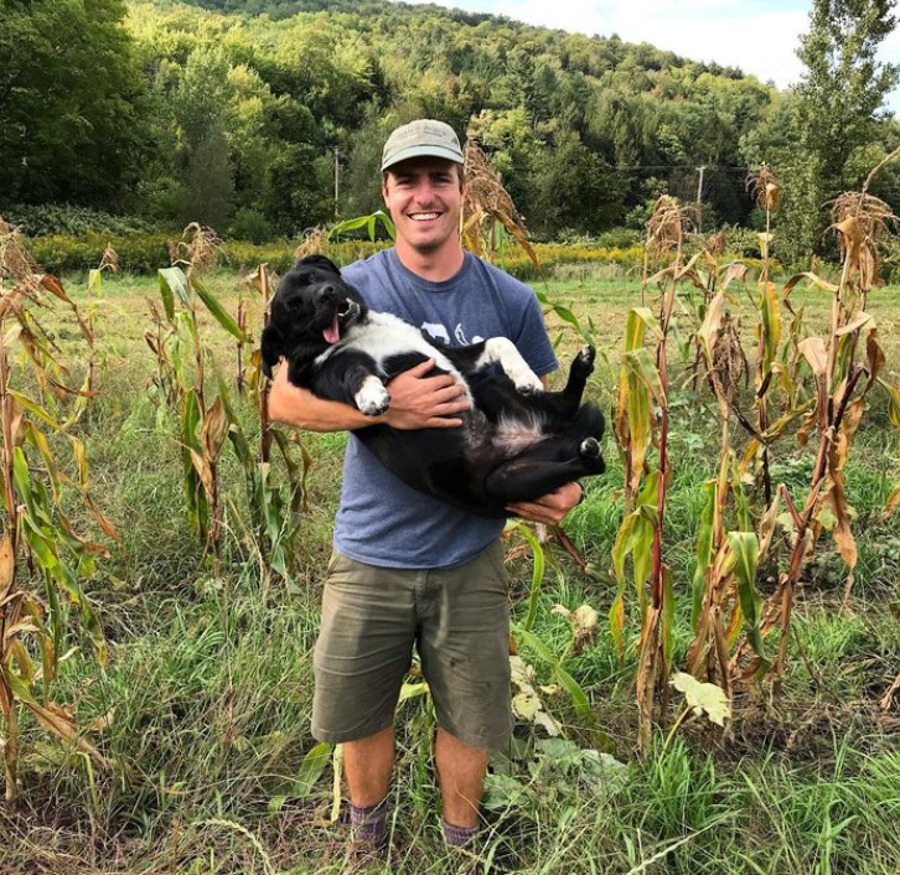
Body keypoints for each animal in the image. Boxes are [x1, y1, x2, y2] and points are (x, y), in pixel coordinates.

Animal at [262, 256, 604, 516]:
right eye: (294, 307)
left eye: (312, 276)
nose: (326, 294)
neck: (359, 330)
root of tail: (539, 437)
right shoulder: (327, 369)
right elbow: (353, 371)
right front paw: (371, 395)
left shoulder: (448, 354)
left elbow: (499, 340)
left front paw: (526, 375)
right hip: (505, 481)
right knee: (593, 466)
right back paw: (587, 451)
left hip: (493, 388)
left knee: (567, 409)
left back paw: (580, 368)